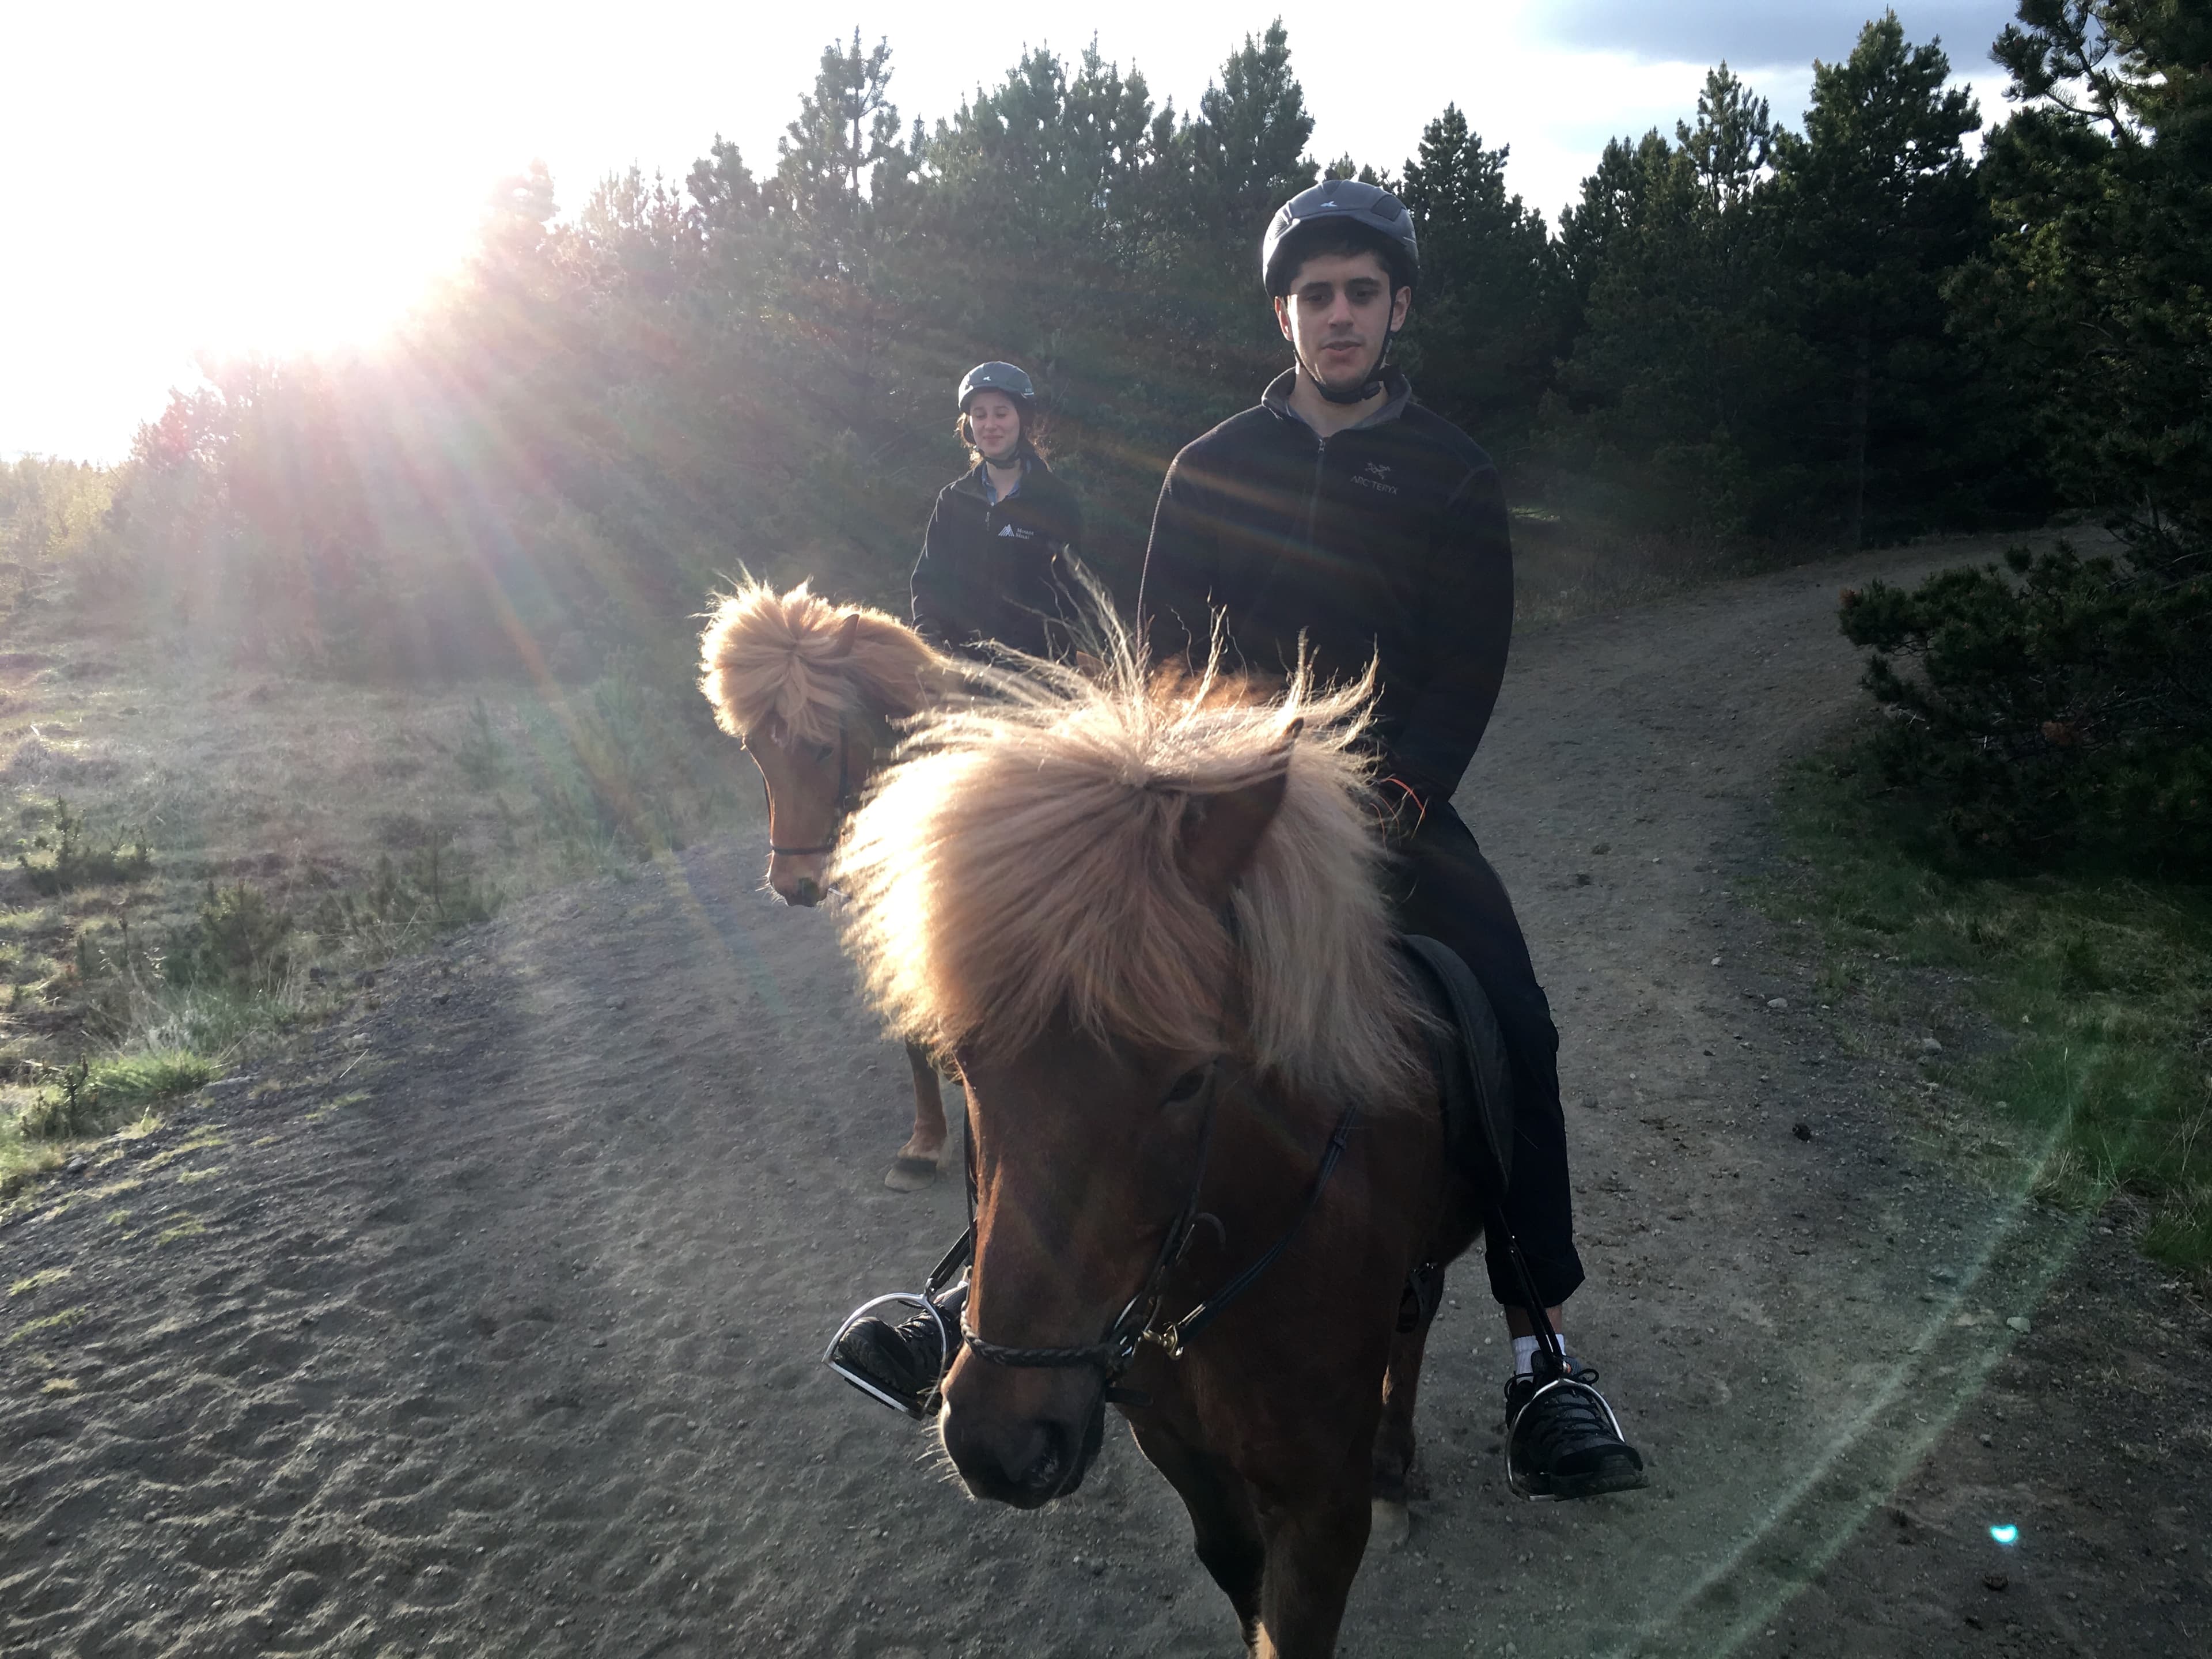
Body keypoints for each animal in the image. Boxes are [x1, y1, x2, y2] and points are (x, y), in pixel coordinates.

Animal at [831, 630, 1494, 1657]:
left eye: (1188, 1078)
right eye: (966, 1062)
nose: (1004, 1443)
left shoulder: (1321, 1505)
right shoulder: (1181, 1454)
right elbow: (1237, 1576)